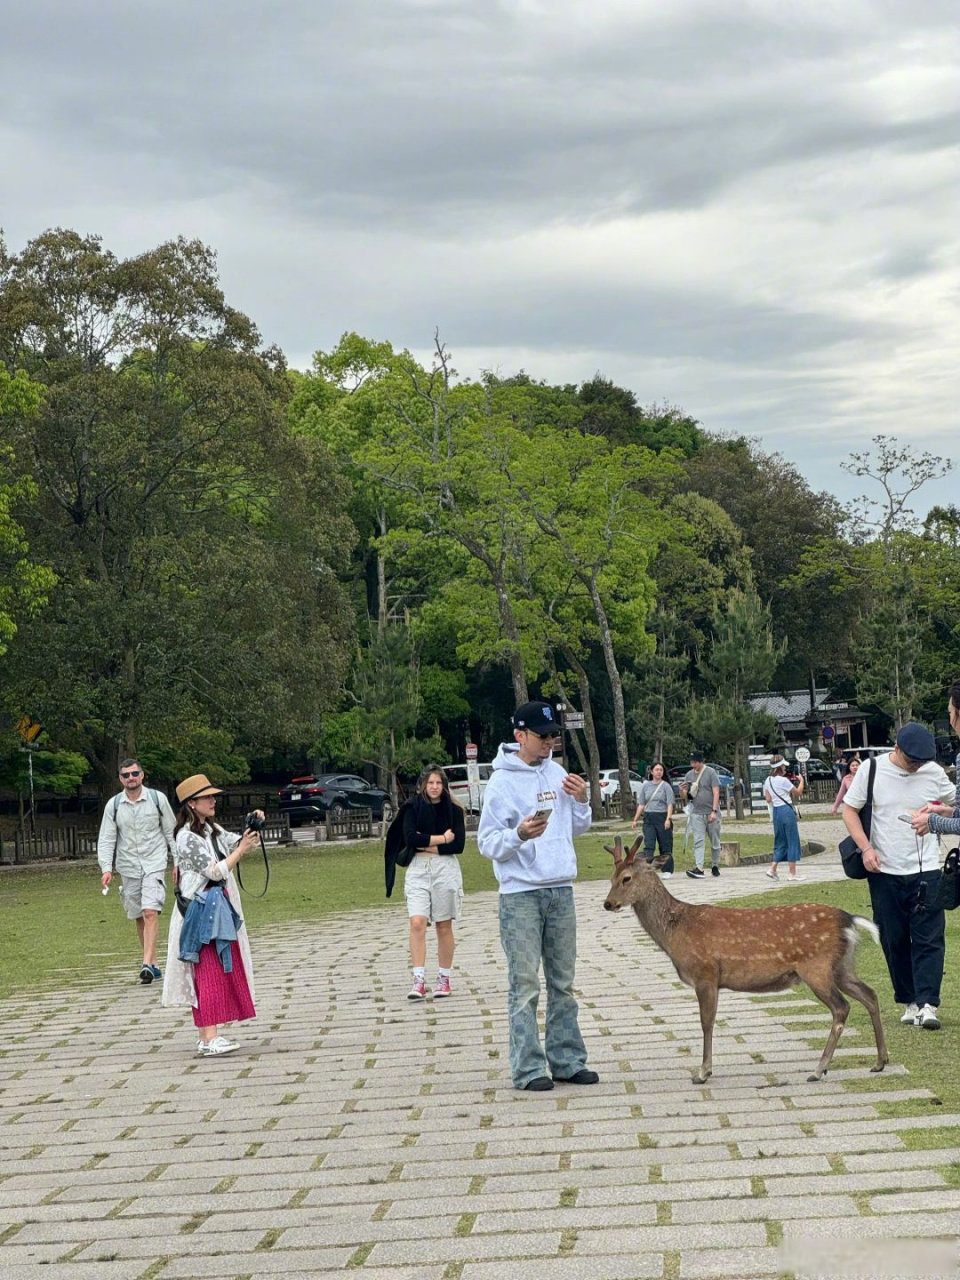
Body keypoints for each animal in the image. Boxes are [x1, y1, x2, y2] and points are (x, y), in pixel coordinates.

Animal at [604, 839, 890, 1080]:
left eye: (627, 878)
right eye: (611, 877)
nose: (608, 904)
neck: (675, 933)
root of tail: (849, 920)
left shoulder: (705, 973)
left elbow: (706, 1022)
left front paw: (703, 1072)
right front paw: (706, 1069)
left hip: (816, 967)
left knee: (842, 1007)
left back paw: (819, 1069)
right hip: (842, 967)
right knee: (870, 994)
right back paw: (880, 1061)